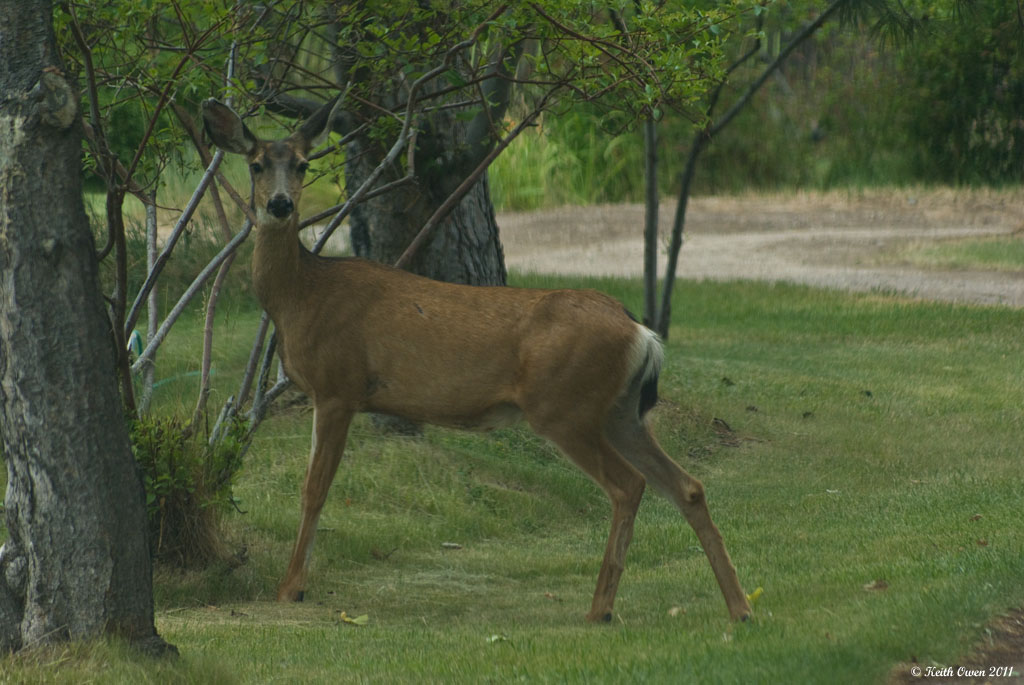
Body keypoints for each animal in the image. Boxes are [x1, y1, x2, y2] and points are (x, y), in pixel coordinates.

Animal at [201, 96, 752, 624]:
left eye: (302, 163)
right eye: (255, 164)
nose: (279, 204)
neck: (300, 294)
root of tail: (641, 332)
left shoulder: (339, 385)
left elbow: (314, 489)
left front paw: (290, 589)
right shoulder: (332, 392)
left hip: (564, 406)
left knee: (629, 485)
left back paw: (601, 609)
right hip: (621, 412)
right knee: (687, 486)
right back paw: (739, 608)